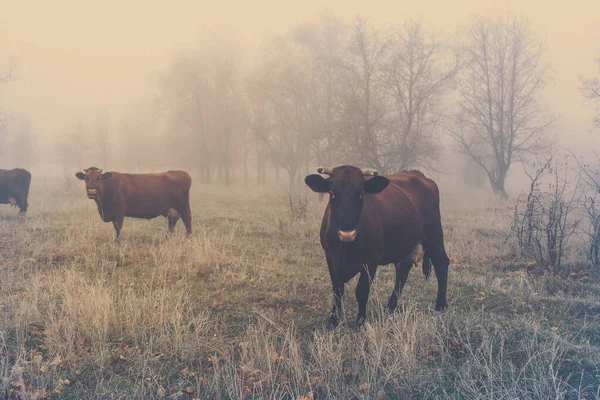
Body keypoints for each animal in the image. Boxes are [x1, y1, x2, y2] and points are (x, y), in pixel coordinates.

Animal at [304, 164, 450, 326]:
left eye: (361, 193)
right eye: (332, 193)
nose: (347, 233)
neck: (346, 247)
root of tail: (419, 175)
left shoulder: (371, 259)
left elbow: (362, 290)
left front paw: (361, 321)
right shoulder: (330, 255)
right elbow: (337, 288)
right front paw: (333, 320)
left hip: (435, 235)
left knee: (441, 263)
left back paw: (440, 305)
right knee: (402, 272)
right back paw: (390, 308)